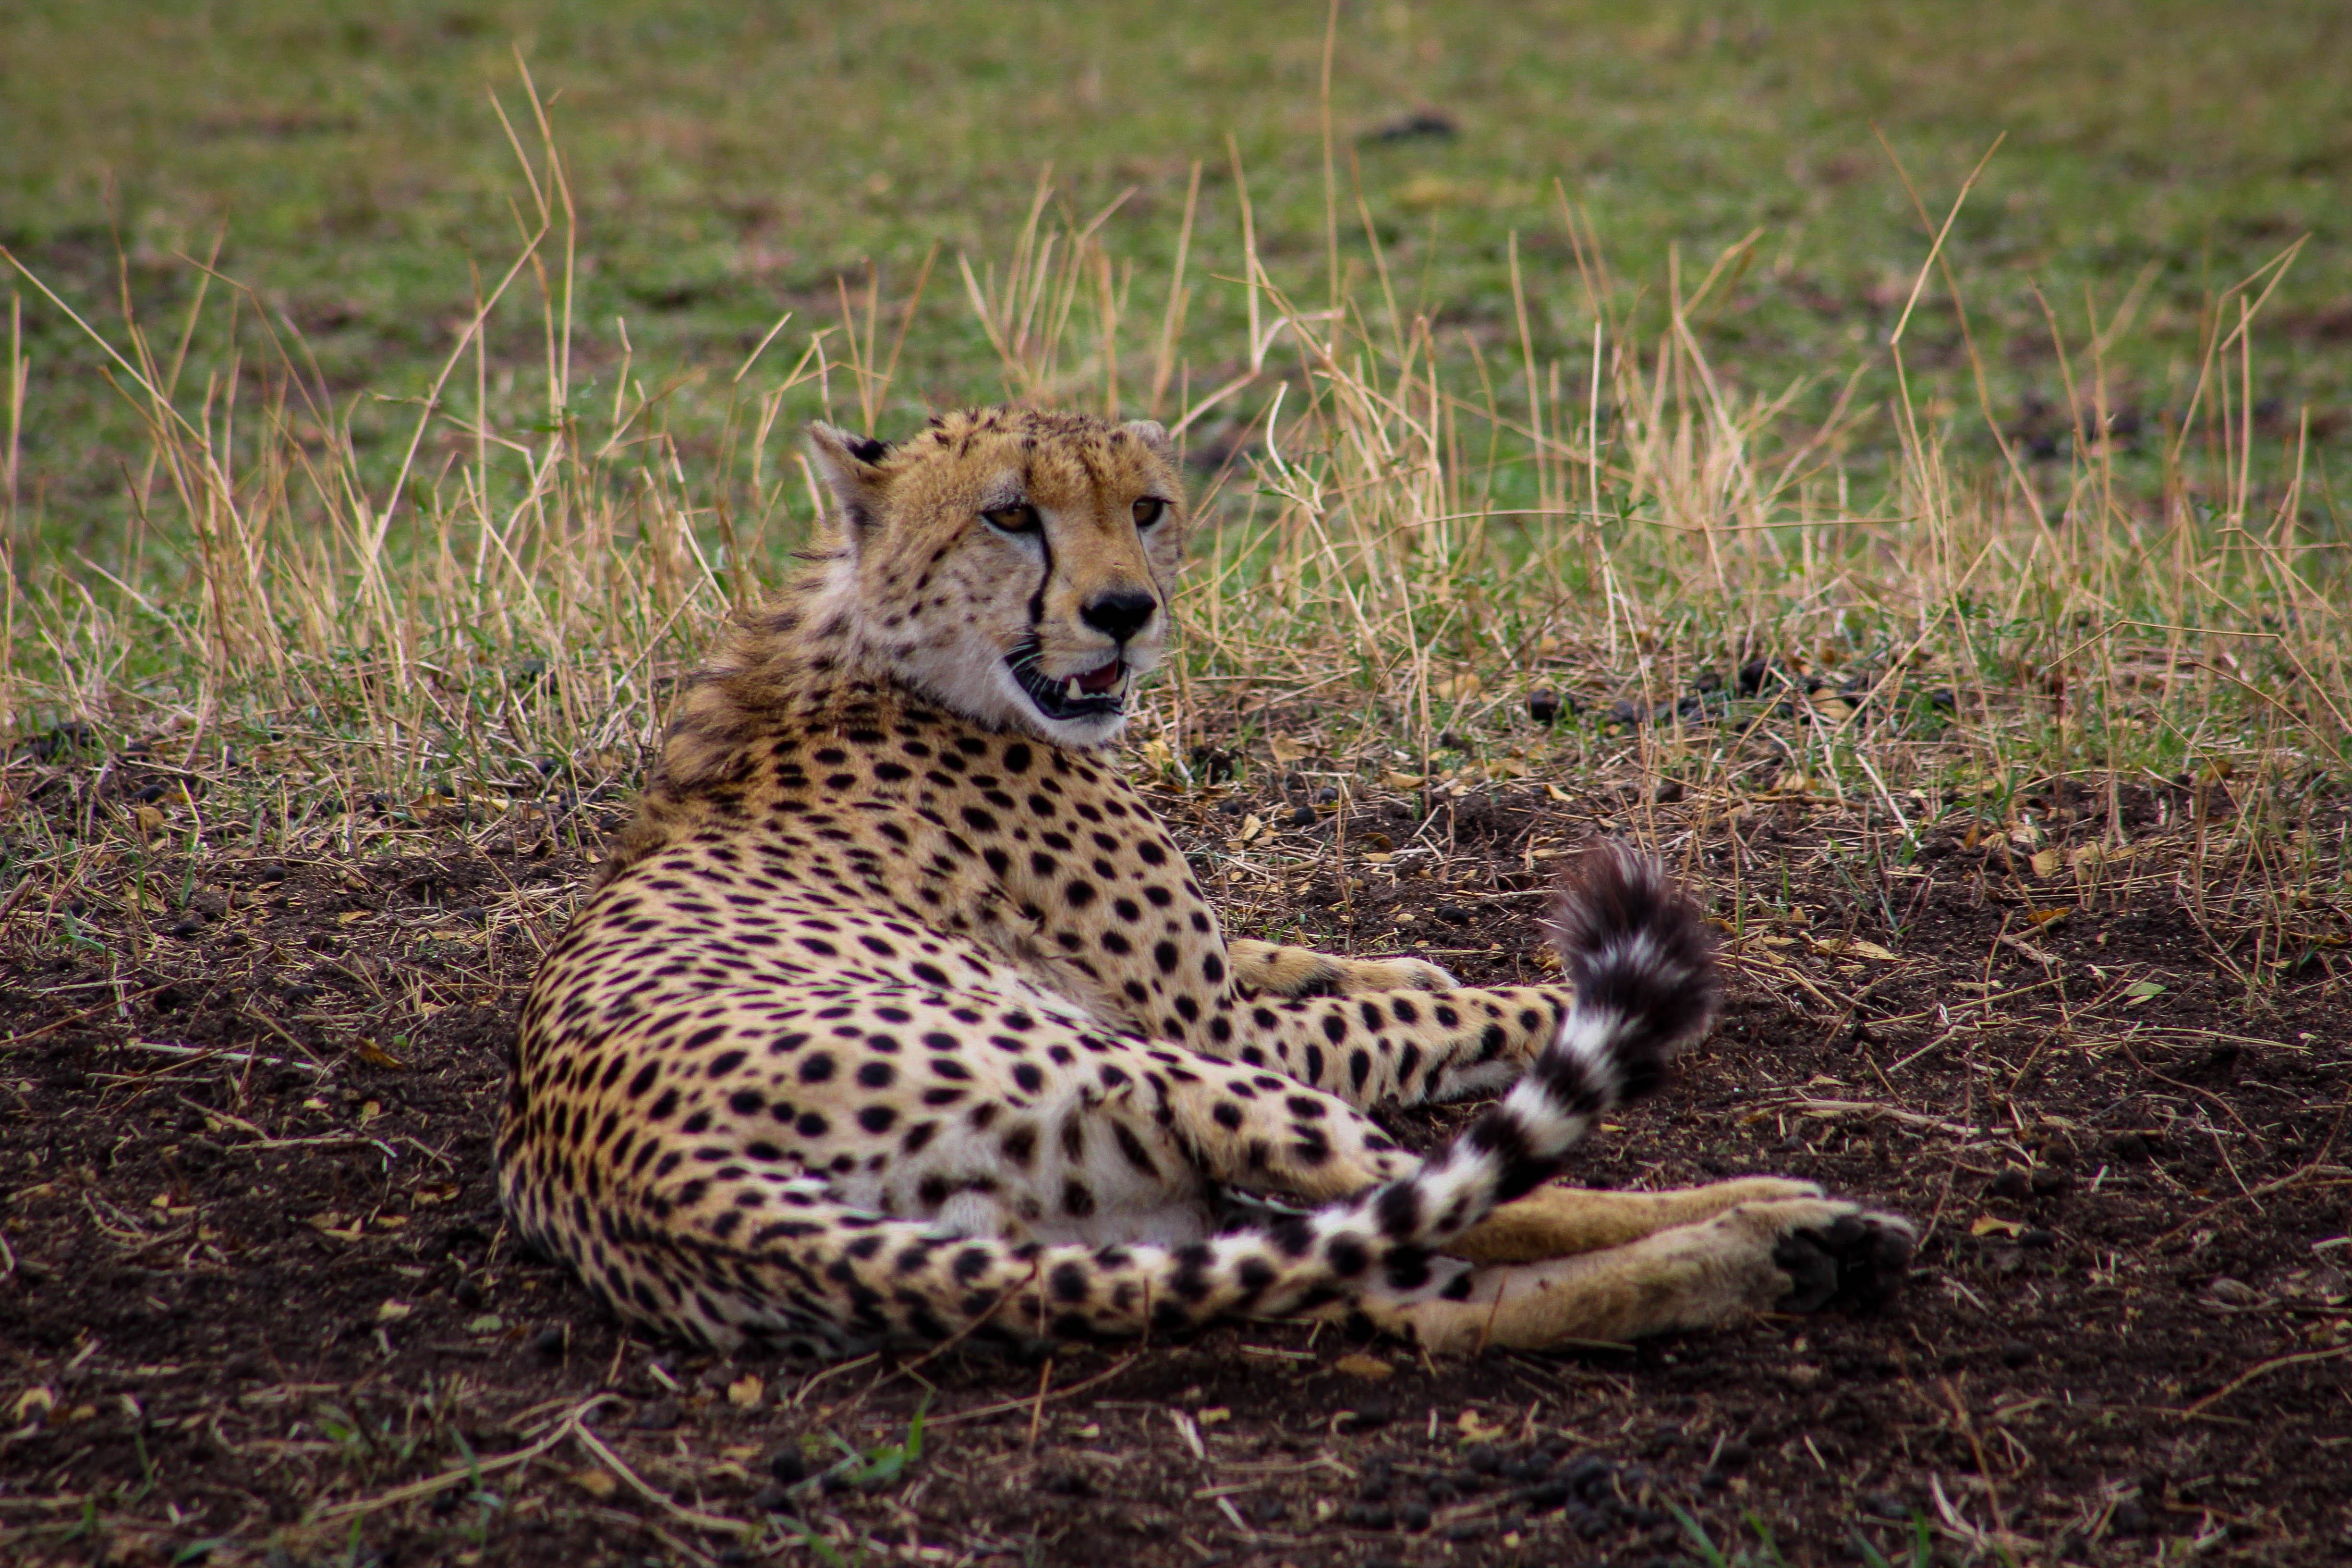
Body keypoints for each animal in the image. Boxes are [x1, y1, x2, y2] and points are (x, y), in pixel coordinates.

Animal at [501, 409, 1910, 1363]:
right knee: (1478, 1198)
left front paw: (1398, 959)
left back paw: (1783, 1257)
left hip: (1123, 1232)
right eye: (1010, 515)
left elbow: (1307, 959)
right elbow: (1406, 1017)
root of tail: (656, 1179)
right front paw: (1504, 998)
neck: (891, 662)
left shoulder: (1212, 992)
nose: (1123, 611)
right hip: (1155, 1078)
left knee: (1431, 1301)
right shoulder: (1214, 1030)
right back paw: (1785, 1215)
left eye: (1147, 507)